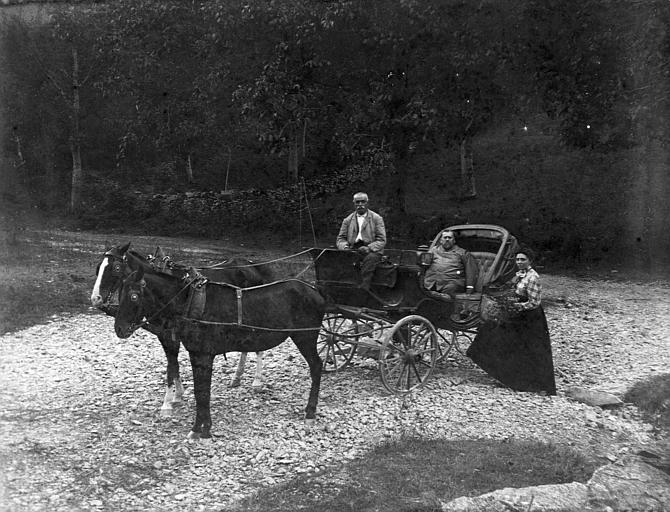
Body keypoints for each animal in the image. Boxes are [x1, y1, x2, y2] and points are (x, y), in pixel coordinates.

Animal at [90, 243, 276, 416]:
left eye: (116, 268)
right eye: (98, 267)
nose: (95, 298)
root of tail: (253, 266)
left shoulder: (170, 335)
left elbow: (171, 366)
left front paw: (167, 403)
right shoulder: (165, 335)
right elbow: (173, 364)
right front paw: (178, 395)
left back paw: (257, 381)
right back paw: (237, 376)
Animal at [115, 260, 326, 440]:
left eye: (134, 296)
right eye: (120, 293)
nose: (119, 329)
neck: (190, 304)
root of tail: (315, 291)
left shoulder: (203, 355)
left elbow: (202, 393)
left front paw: (202, 429)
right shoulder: (196, 354)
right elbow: (200, 392)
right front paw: (200, 428)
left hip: (305, 337)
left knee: (316, 366)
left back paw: (310, 411)